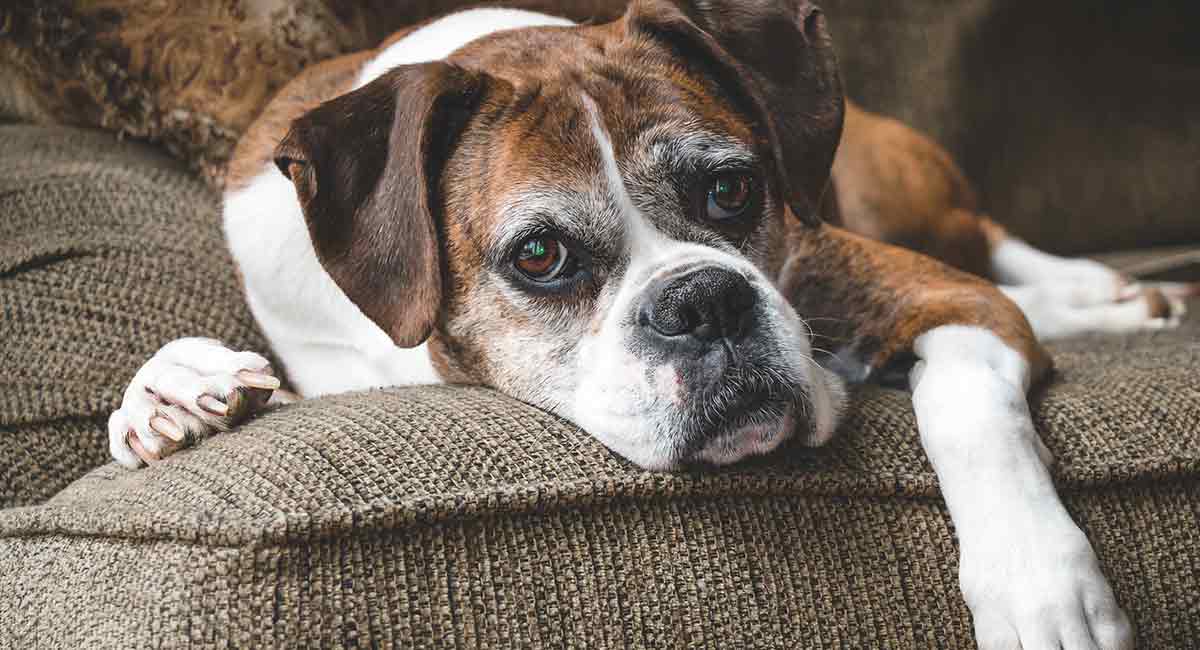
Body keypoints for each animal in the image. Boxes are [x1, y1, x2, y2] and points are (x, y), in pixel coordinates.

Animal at [108, 2, 1195, 647]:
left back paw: (1104, 293)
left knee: (989, 236)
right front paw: (170, 396)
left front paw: (1041, 586)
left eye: (732, 190)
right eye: (538, 256)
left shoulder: (949, 302)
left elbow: (967, 407)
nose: (703, 300)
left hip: (905, 197)